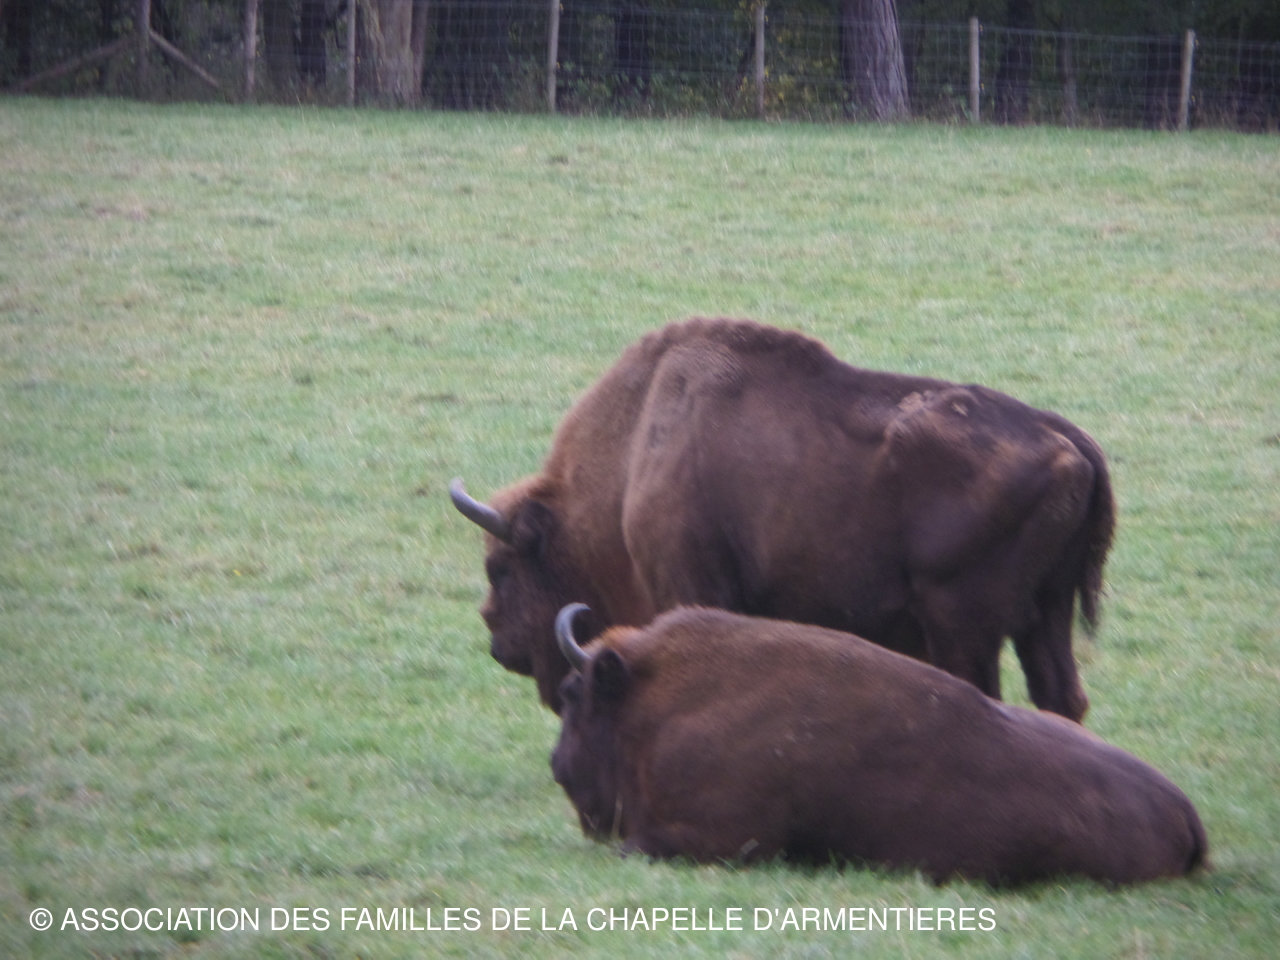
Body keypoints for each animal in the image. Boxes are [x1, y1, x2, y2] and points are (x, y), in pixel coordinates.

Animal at [451, 317, 1114, 720]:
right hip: (1044, 615)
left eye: (501, 567)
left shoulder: (688, 586)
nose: (499, 643)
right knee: (1061, 695)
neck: (638, 446)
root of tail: (1068, 442)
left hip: (963, 622)